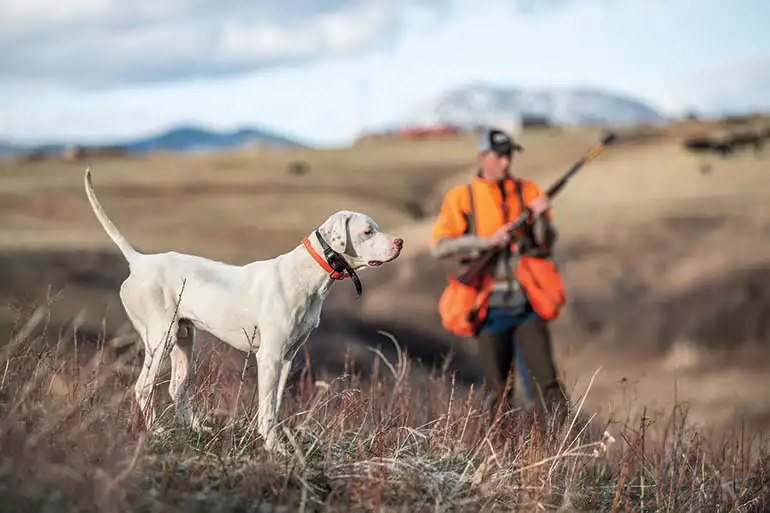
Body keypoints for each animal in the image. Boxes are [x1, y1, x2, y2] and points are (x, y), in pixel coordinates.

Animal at [84, 167, 404, 448]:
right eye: (368, 231)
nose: (400, 242)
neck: (307, 275)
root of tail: (138, 261)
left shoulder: (287, 357)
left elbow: (274, 404)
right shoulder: (269, 356)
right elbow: (267, 408)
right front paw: (274, 447)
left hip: (183, 340)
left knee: (177, 388)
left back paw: (198, 428)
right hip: (161, 340)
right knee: (143, 388)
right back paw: (157, 431)